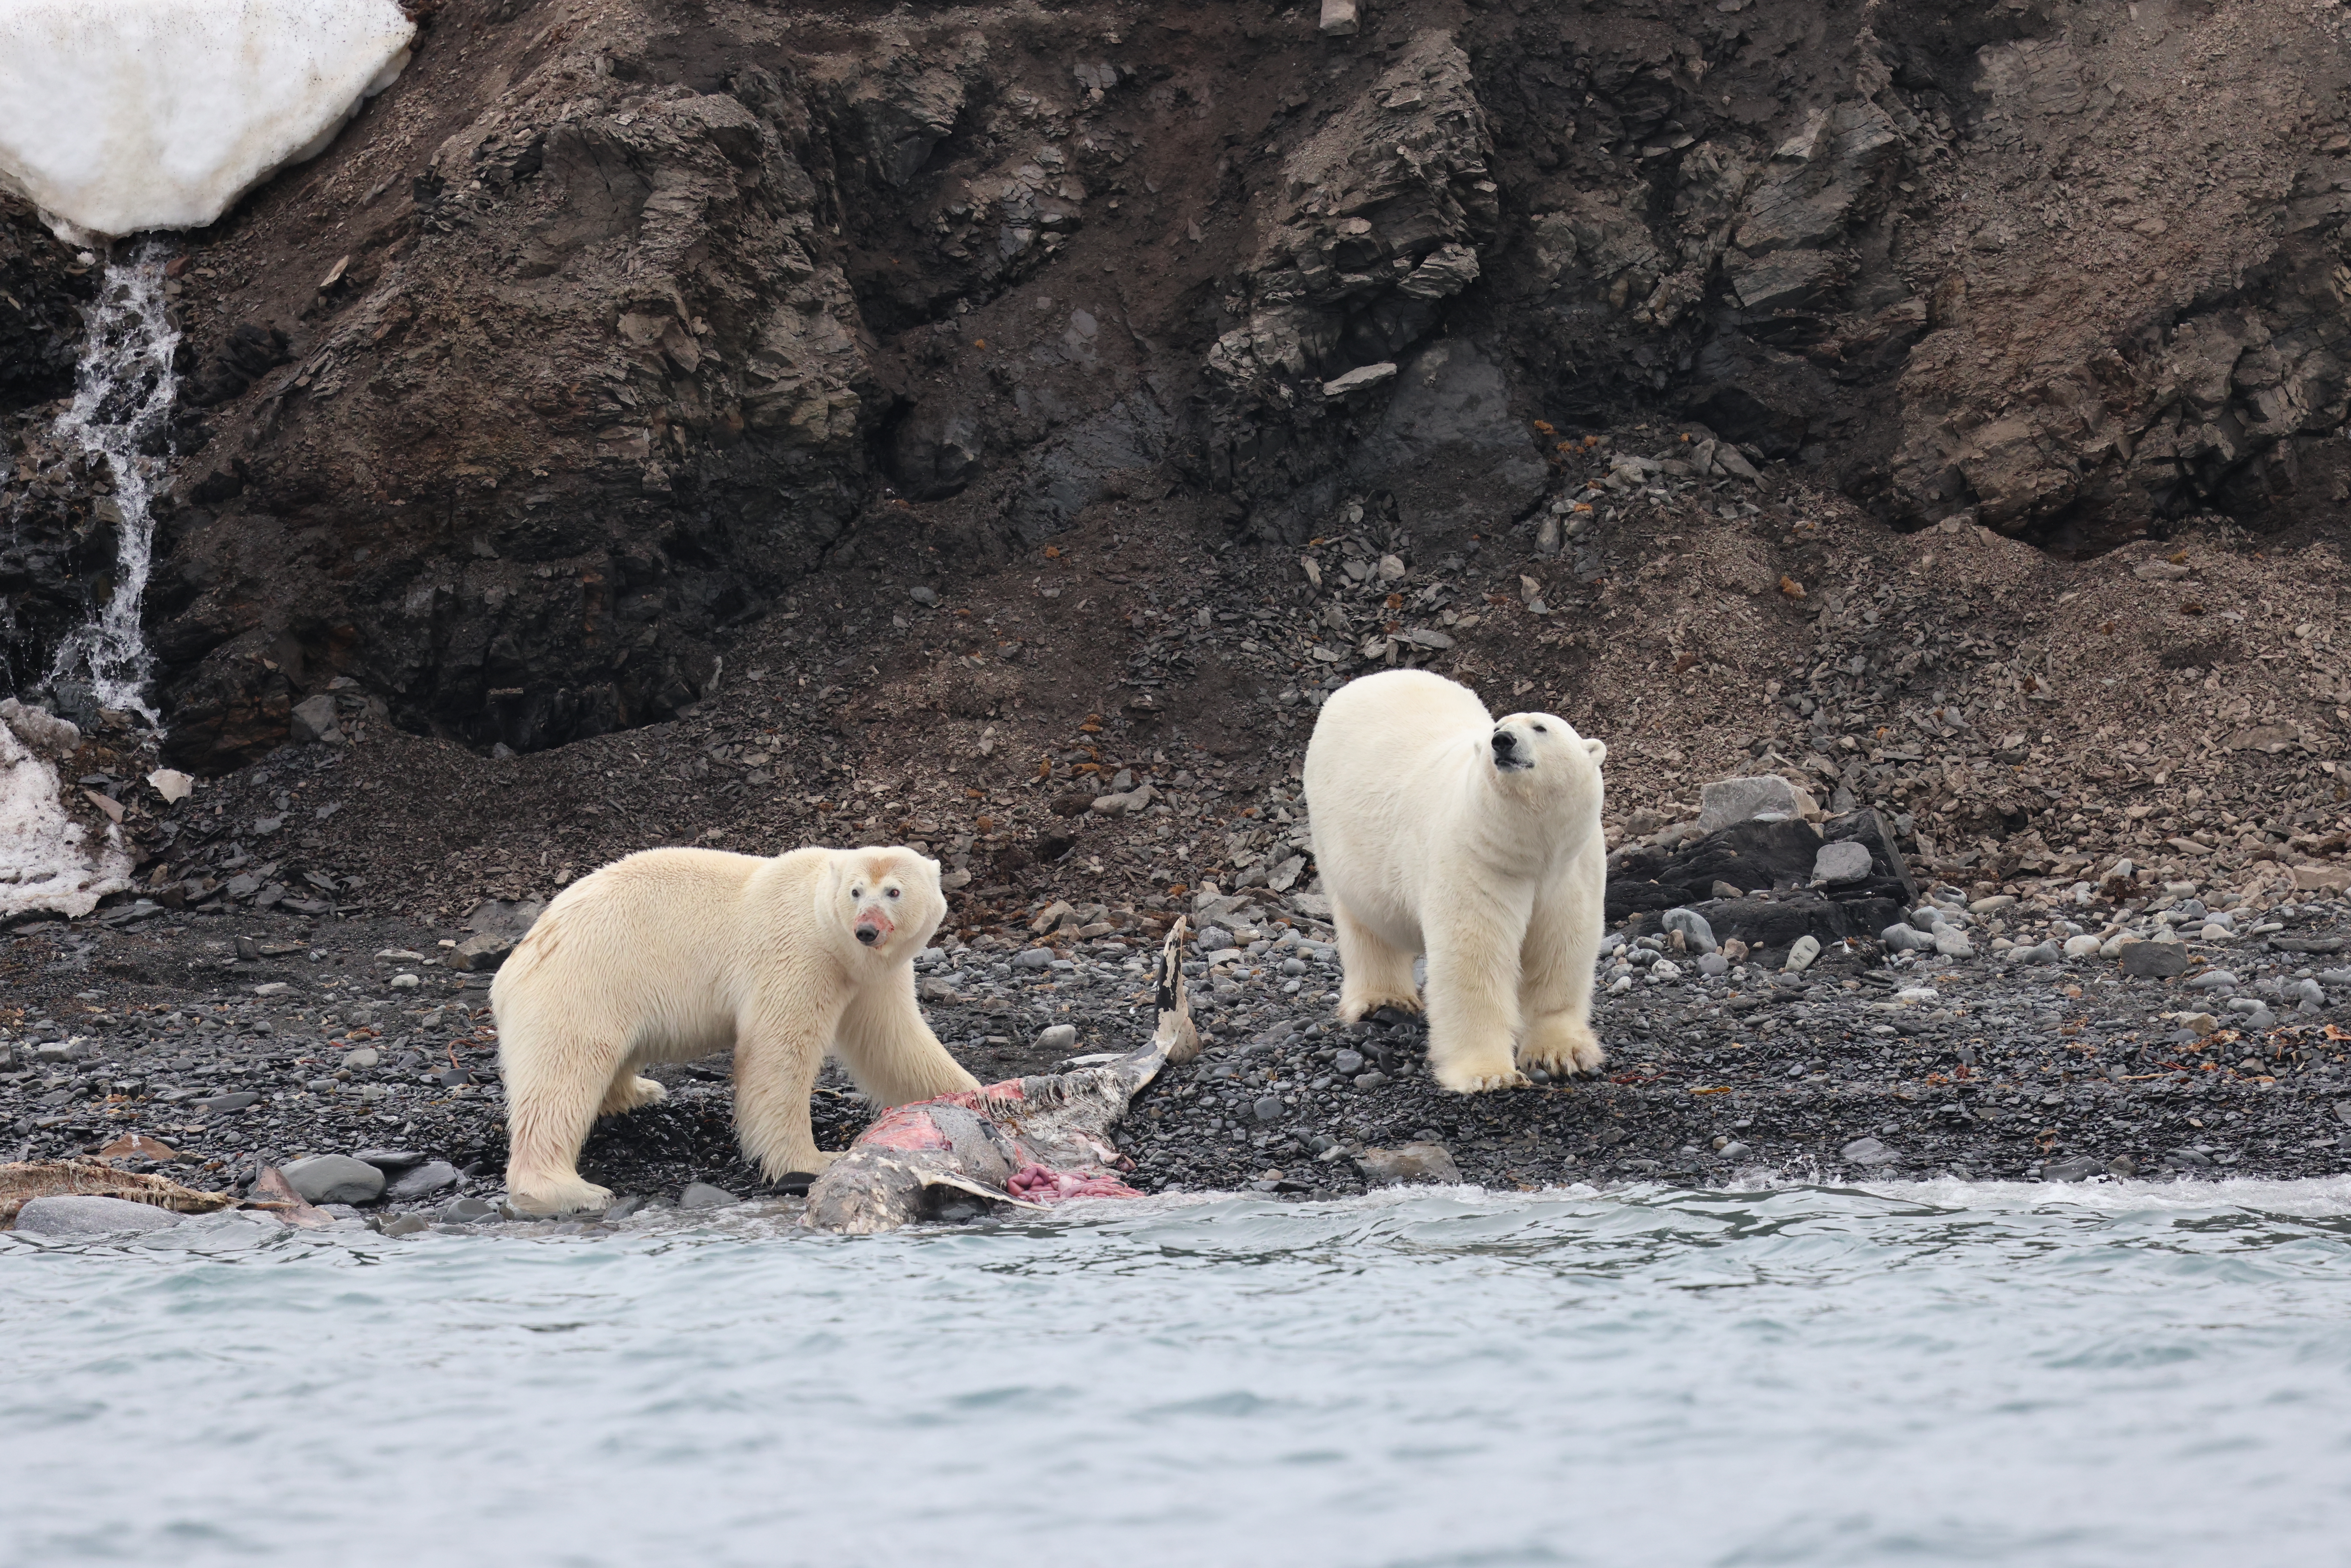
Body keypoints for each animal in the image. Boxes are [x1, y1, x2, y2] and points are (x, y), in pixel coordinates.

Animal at [492, 844, 979, 1215]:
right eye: (857, 891)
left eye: (894, 891)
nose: (867, 930)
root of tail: (518, 959)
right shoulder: (800, 955)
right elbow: (777, 1050)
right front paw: (814, 1159)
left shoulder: (871, 976)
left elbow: (895, 1043)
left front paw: (970, 1094)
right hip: (583, 984)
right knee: (561, 1078)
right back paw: (569, 1189)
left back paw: (640, 1092)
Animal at [1302, 669, 1609, 1093]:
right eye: (1498, 727)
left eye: (1541, 727)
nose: (1503, 741)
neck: (1531, 851)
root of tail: (1370, 678)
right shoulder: (1476, 857)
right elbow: (1474, 954)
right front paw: (1489, 1074)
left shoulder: (1570, 868)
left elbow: (1560, 947)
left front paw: (1561, 1054)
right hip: (1340, 843)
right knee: (1364, 924)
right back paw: (1383, 1000)